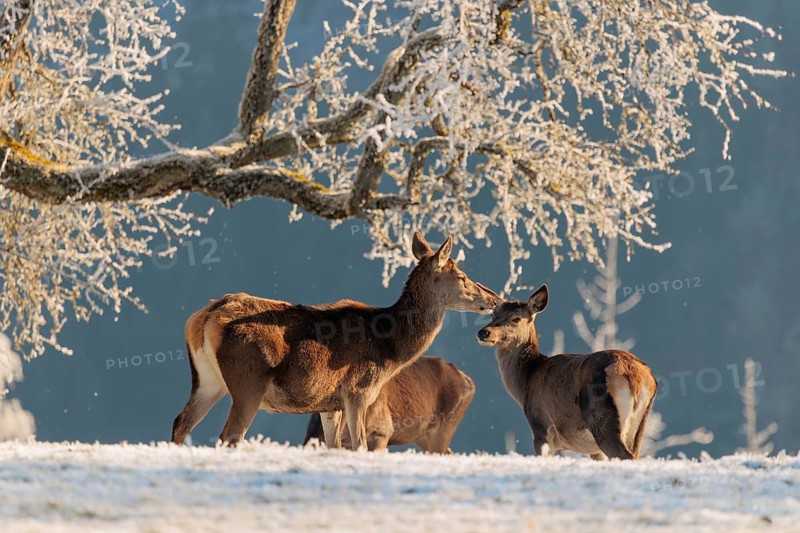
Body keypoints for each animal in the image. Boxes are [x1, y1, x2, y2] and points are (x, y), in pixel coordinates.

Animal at [477, 284, 657, 460]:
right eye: (493, 315)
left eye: (516, 318)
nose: (483, 332)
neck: (525, 384)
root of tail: (636, 377)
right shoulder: (594, 451)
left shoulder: (541, 428)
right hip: (638, 425)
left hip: (601, 417)